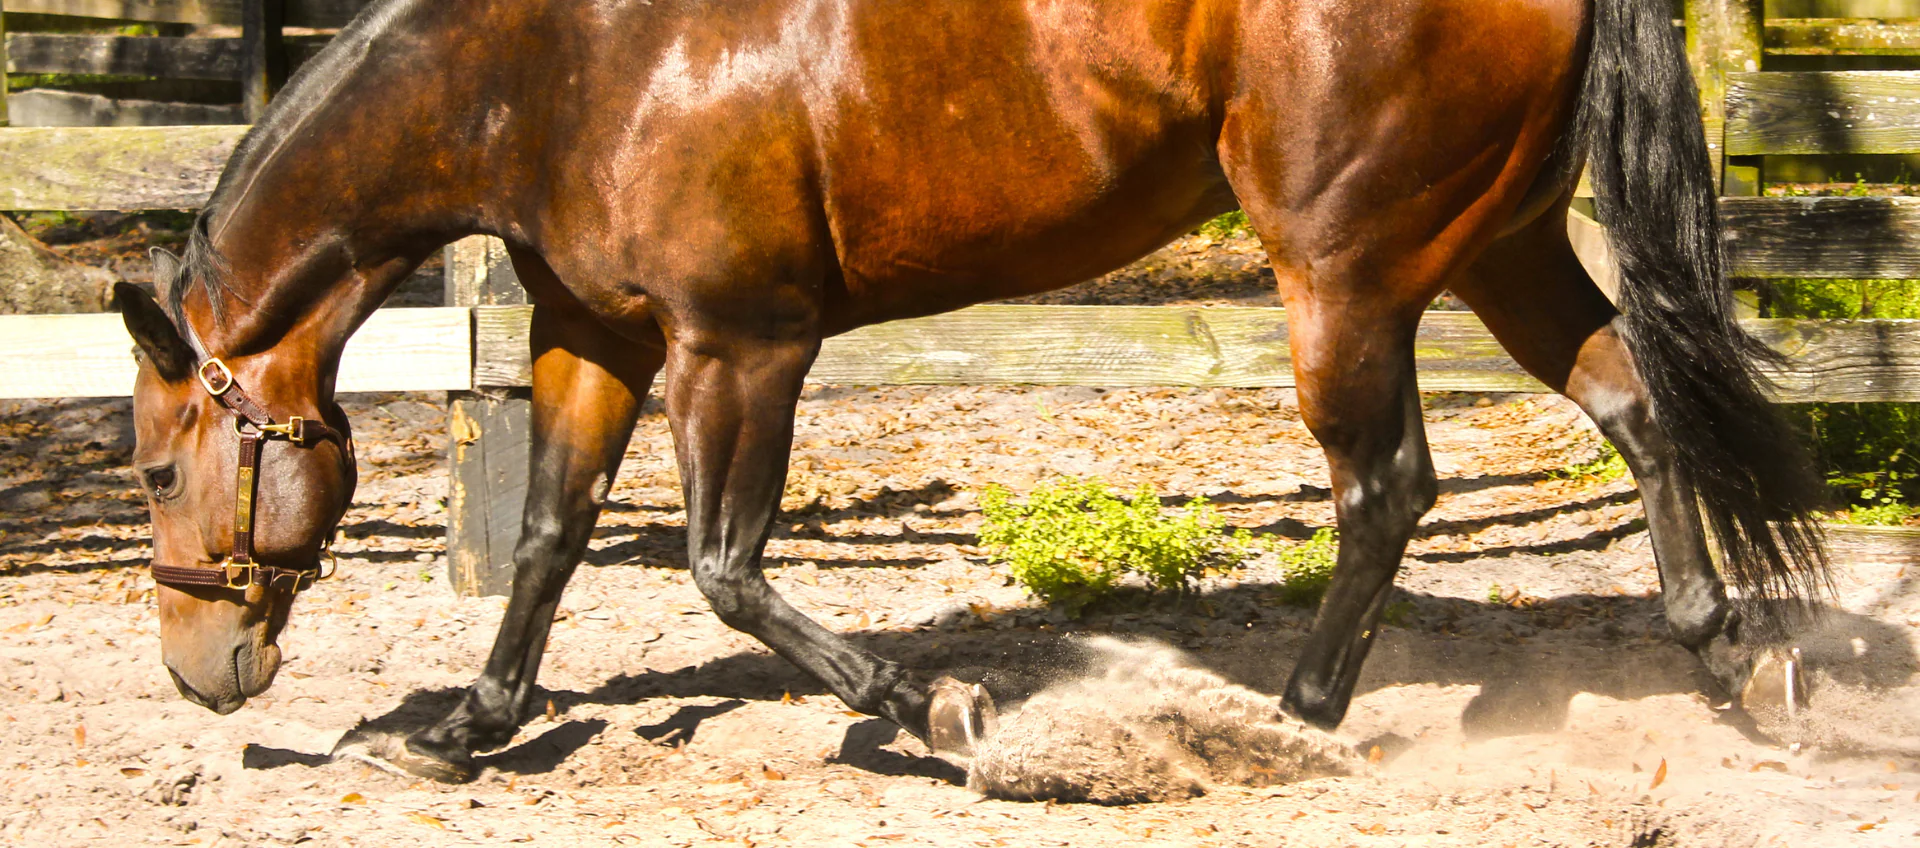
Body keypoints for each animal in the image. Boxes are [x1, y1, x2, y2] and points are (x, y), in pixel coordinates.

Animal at [113, 0, 1827, 783]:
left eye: (150, 472)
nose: (202, 676)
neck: (559, 65)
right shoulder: (594, 337)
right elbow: (545, 541)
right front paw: (468, 728)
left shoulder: (743, 346)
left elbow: (725, 568)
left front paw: (934, 706)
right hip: (1503, 243)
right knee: (1635, 404)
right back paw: (1727, 656)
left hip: (1344, 275)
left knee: (1387, 486)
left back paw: (1296, 711)